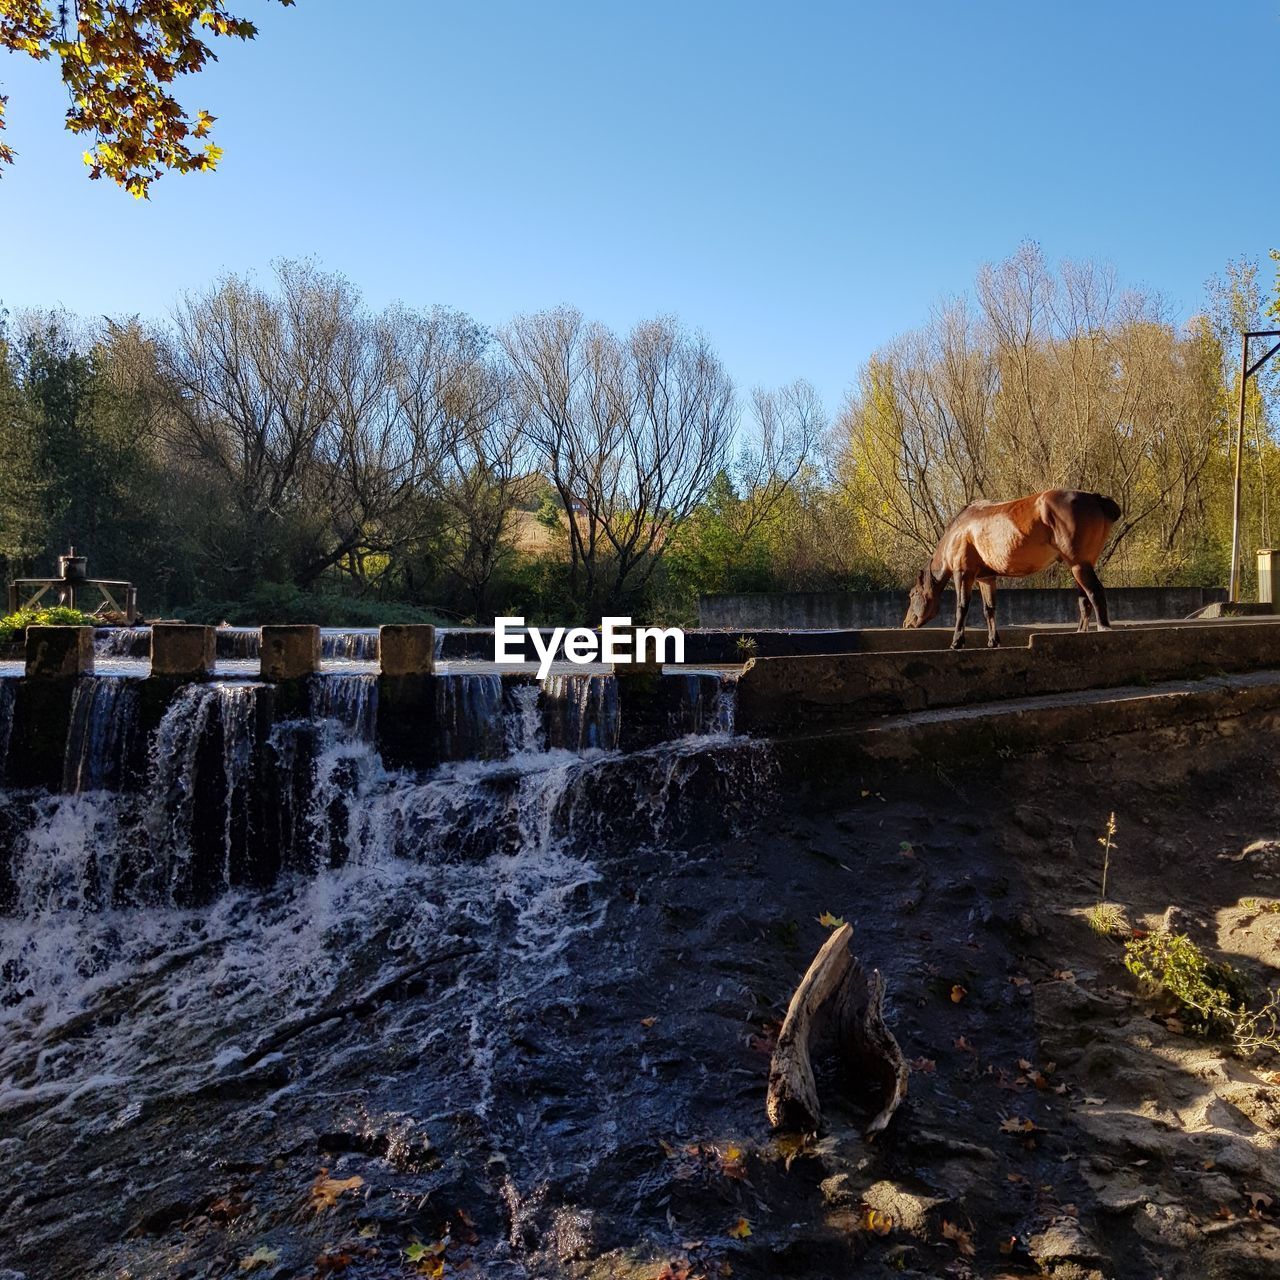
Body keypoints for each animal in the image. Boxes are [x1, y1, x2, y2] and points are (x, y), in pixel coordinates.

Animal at [901, 486, 1121, 650]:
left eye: (912, 595)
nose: (906, 624)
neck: (959, 532)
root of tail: (1096, 499)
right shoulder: (986, 578)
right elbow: (989, 609)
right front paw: (993, 641)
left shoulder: (963, 574)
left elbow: (962, 607)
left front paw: (957, 642)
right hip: (1079, 567)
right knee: (1084, 600)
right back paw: (1080, 633)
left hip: (1079, 565)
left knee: (1095, 593)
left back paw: (1104, 629)